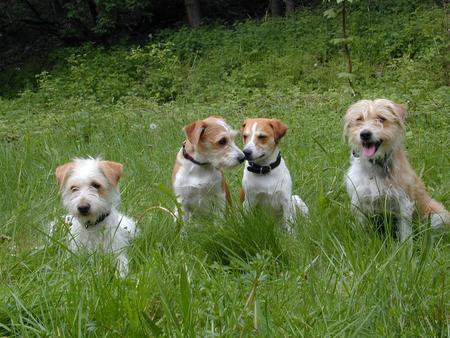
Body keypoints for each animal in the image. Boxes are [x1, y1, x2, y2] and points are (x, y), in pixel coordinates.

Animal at [344, 97, 446, 240]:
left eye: (381, 118)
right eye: (359, 119)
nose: (365, 134)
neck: (375, 167)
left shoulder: (404, 203)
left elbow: (405, 232)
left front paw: (405, 246)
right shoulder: (358, 201)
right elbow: (361, 229)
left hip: (437, 215)